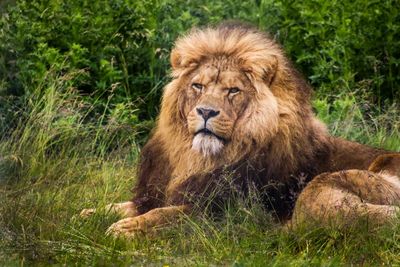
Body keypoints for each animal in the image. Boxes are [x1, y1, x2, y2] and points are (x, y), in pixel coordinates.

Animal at [80, 22, 396, 238]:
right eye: (198, 86)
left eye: (233, 91)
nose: (206, 112)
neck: (196, 159)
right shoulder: (157, 192)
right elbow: (130, 205)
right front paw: (88, 213)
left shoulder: (223, 214)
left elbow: (167, 216)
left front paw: (125, 230)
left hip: (322, 192)